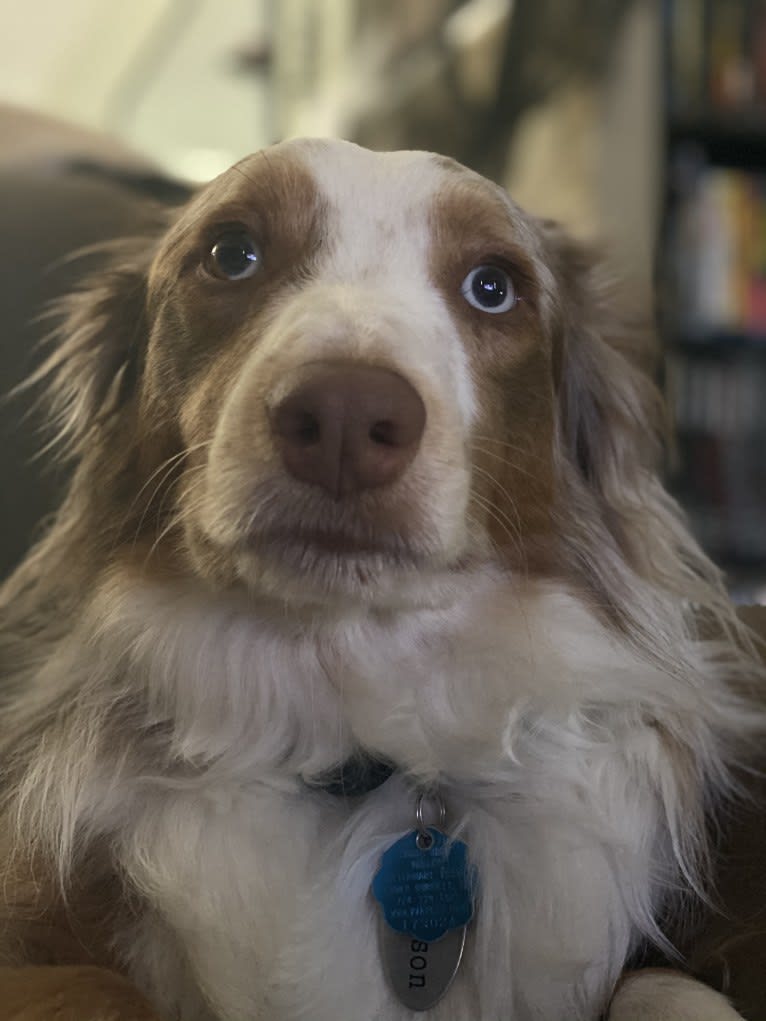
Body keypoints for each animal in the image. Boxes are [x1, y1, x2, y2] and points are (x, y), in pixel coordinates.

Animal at [0, 137, 763, 1021]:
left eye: (493, 286)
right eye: (231, 253)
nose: (344, 416)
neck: (353, 723)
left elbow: (662, 986)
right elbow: (94, 986)